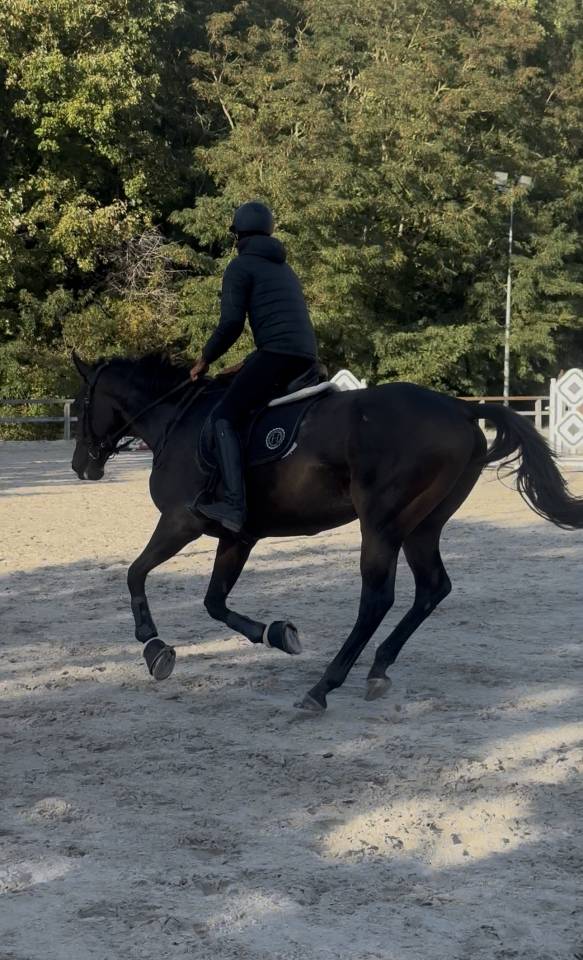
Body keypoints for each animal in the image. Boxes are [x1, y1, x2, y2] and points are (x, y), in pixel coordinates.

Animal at [71, 352, 583, 712]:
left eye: (81, 406)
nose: (81, 466)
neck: (178, 420)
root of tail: (460, 410)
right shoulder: (238, 537)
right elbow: (214, 602)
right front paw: (278, 634)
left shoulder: (181, 522)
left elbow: (136, 573)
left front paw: (153, 647)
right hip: (422, 527)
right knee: (433, 587)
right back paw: (378, 667)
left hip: (381, 525)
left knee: (376, 599)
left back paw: (323, 687)